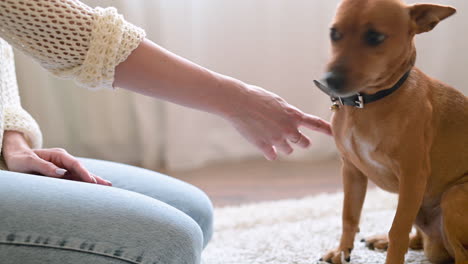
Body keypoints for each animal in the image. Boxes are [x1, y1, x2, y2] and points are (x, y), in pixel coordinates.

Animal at [314, 0, 468, 264]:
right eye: (334, 33)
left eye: (375, 37)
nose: (330, 80)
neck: (366, 104)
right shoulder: (352, 172)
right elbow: (349, 217)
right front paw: (342, 251)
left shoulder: (412, 176)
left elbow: (398, 229)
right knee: (418, 239)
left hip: (453, 195)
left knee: (461, 254)